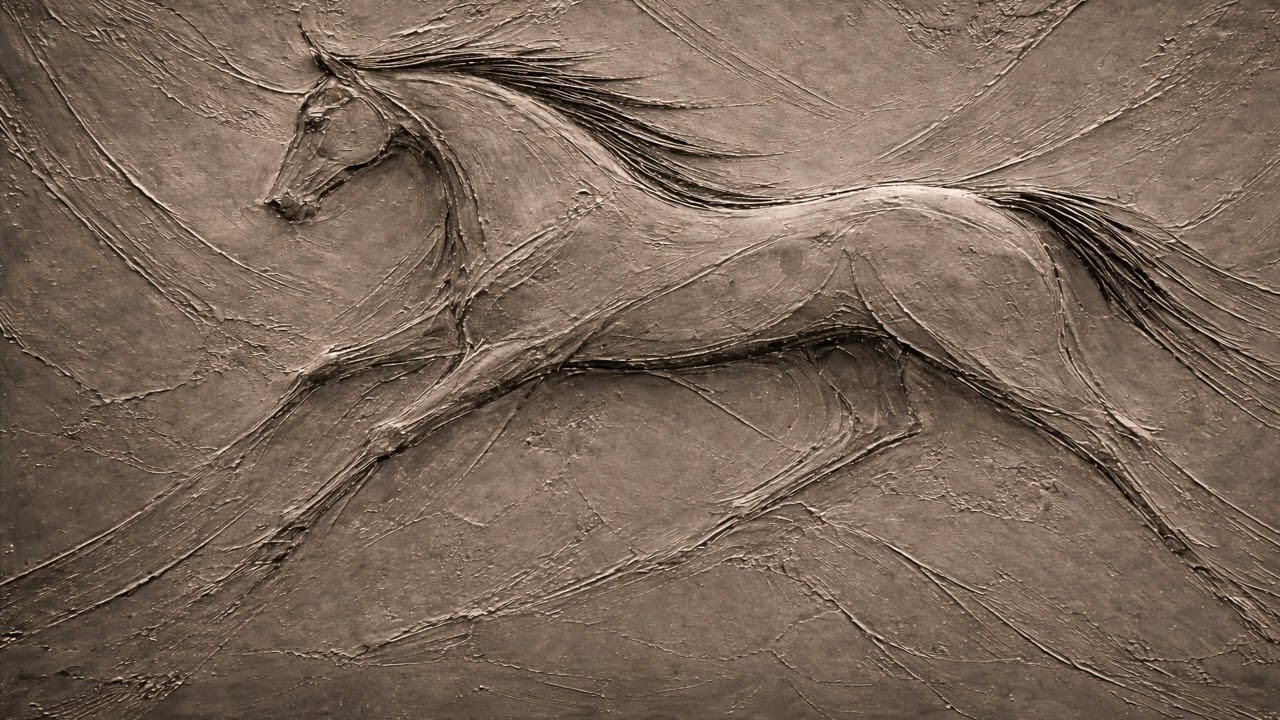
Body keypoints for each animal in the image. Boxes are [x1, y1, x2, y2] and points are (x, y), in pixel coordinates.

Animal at [5, 20, 1280, 720]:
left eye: (318, 118)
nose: (281, 206)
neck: (537, 212)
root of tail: (997, 209)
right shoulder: (448, 332)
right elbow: (309, 377)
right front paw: (131, 571)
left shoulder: (507, 354)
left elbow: (379, 431)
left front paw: (250, 566)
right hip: (856, 349)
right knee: (876, 431)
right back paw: (689, 537)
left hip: (998, 351)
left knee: (1115, 436)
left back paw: (1228, 595)